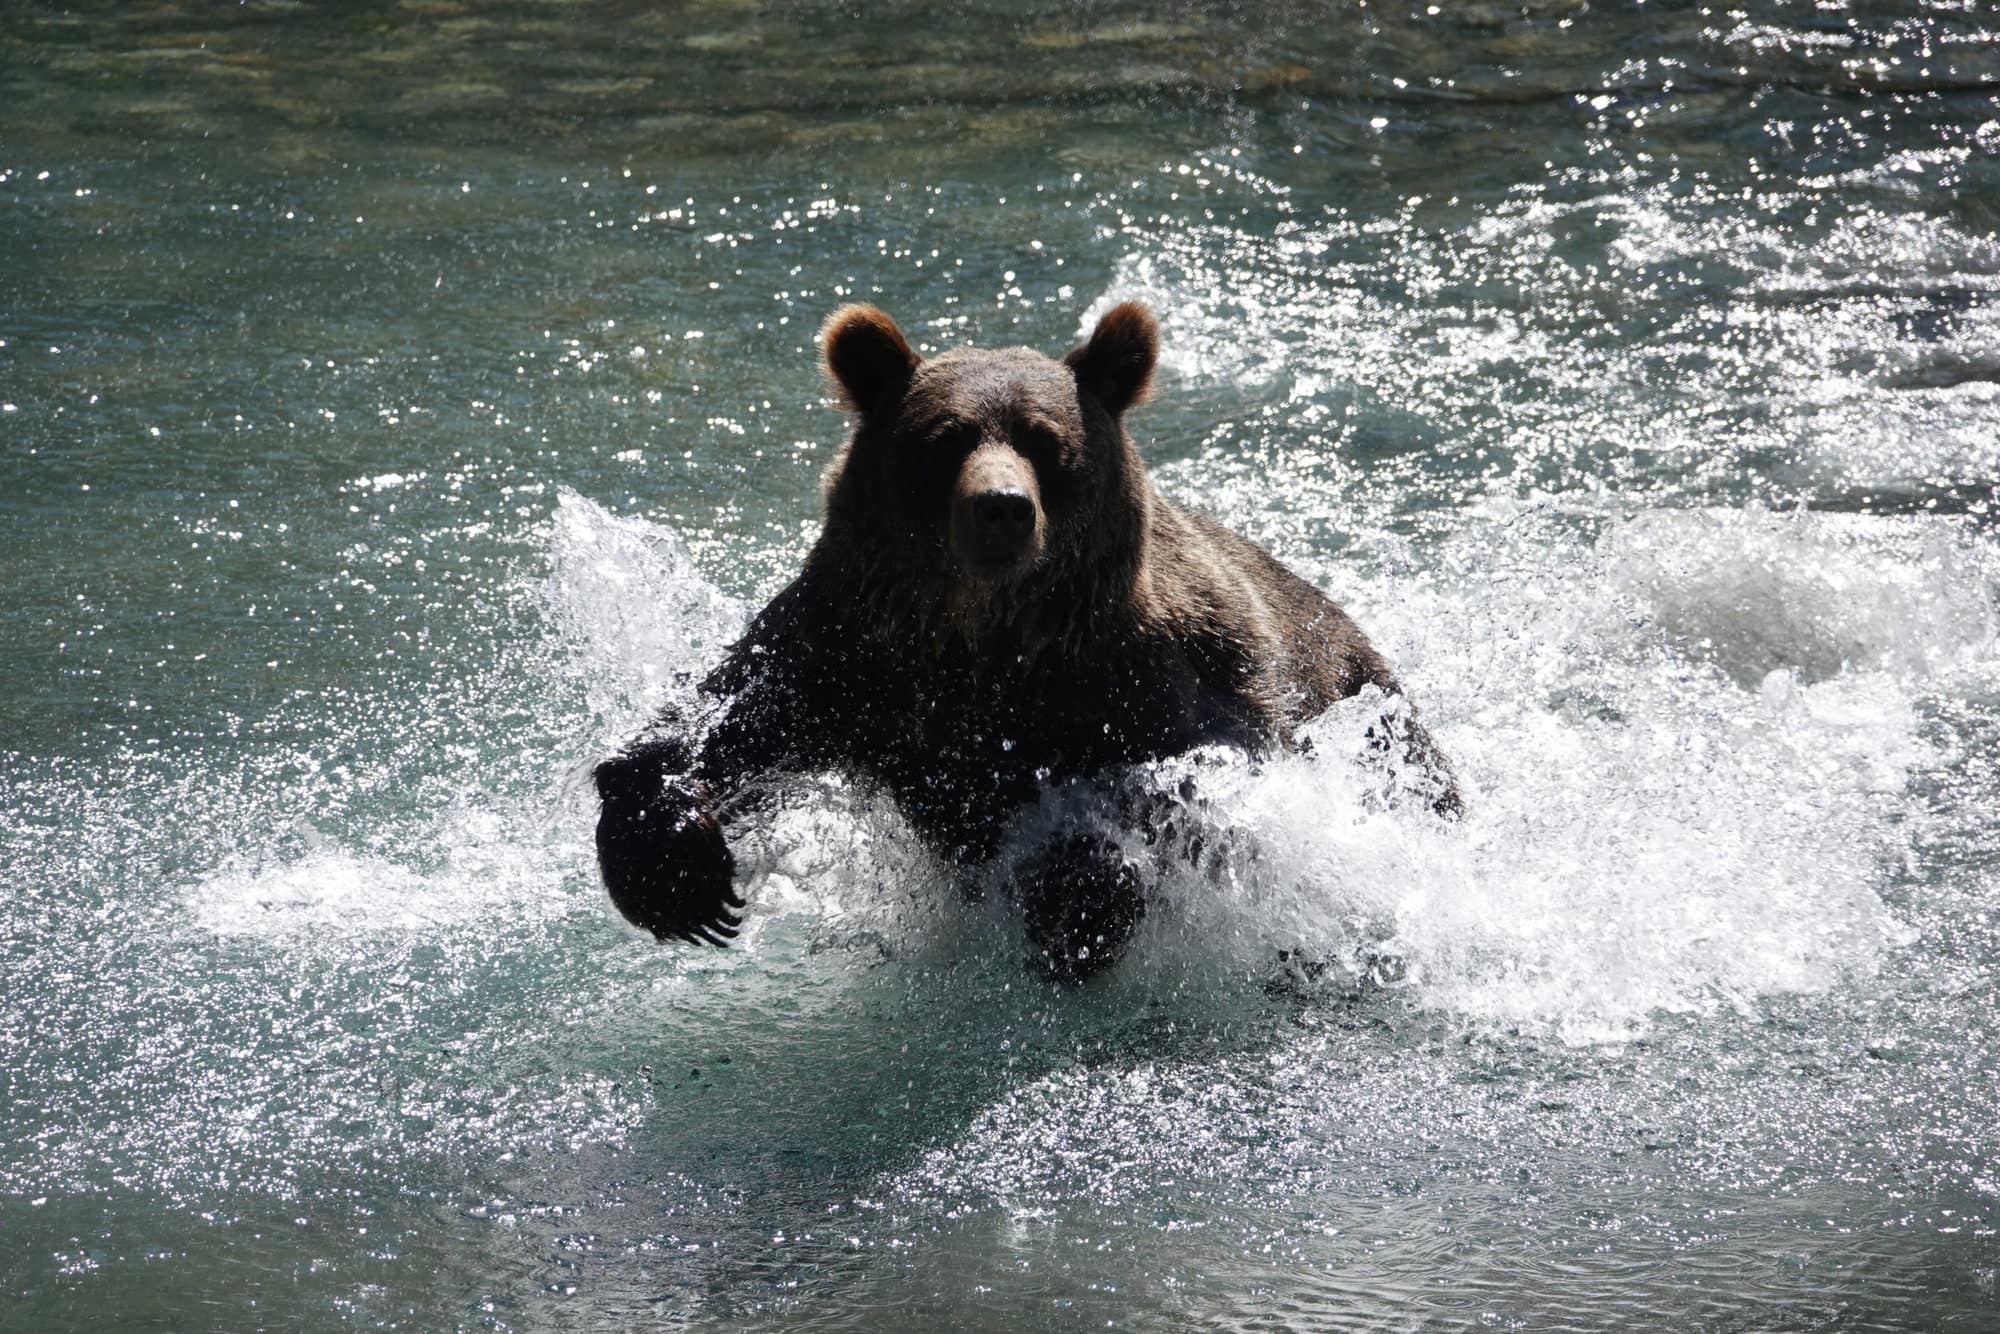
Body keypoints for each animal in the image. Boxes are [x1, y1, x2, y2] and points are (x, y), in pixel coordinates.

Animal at [592, 308, 1456, 988]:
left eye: (1046, 442)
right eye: (945, 440)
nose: (1002, 508)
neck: (987, 640)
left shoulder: (1154, 675)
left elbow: (1194, 800)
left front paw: (1076, 898)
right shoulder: (855, 654)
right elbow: (731, 715)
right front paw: (676, 873)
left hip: (1376, 728)